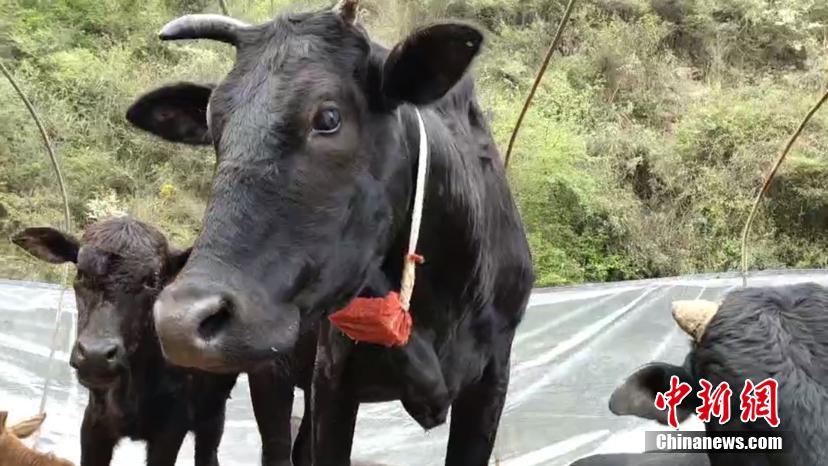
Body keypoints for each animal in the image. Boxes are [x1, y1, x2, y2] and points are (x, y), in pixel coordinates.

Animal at [12, 218, 316, 466]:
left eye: (152, 281)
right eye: (81, 273)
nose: (96, 355)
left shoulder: (171, 429)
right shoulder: (95, 423)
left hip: (213, 413)